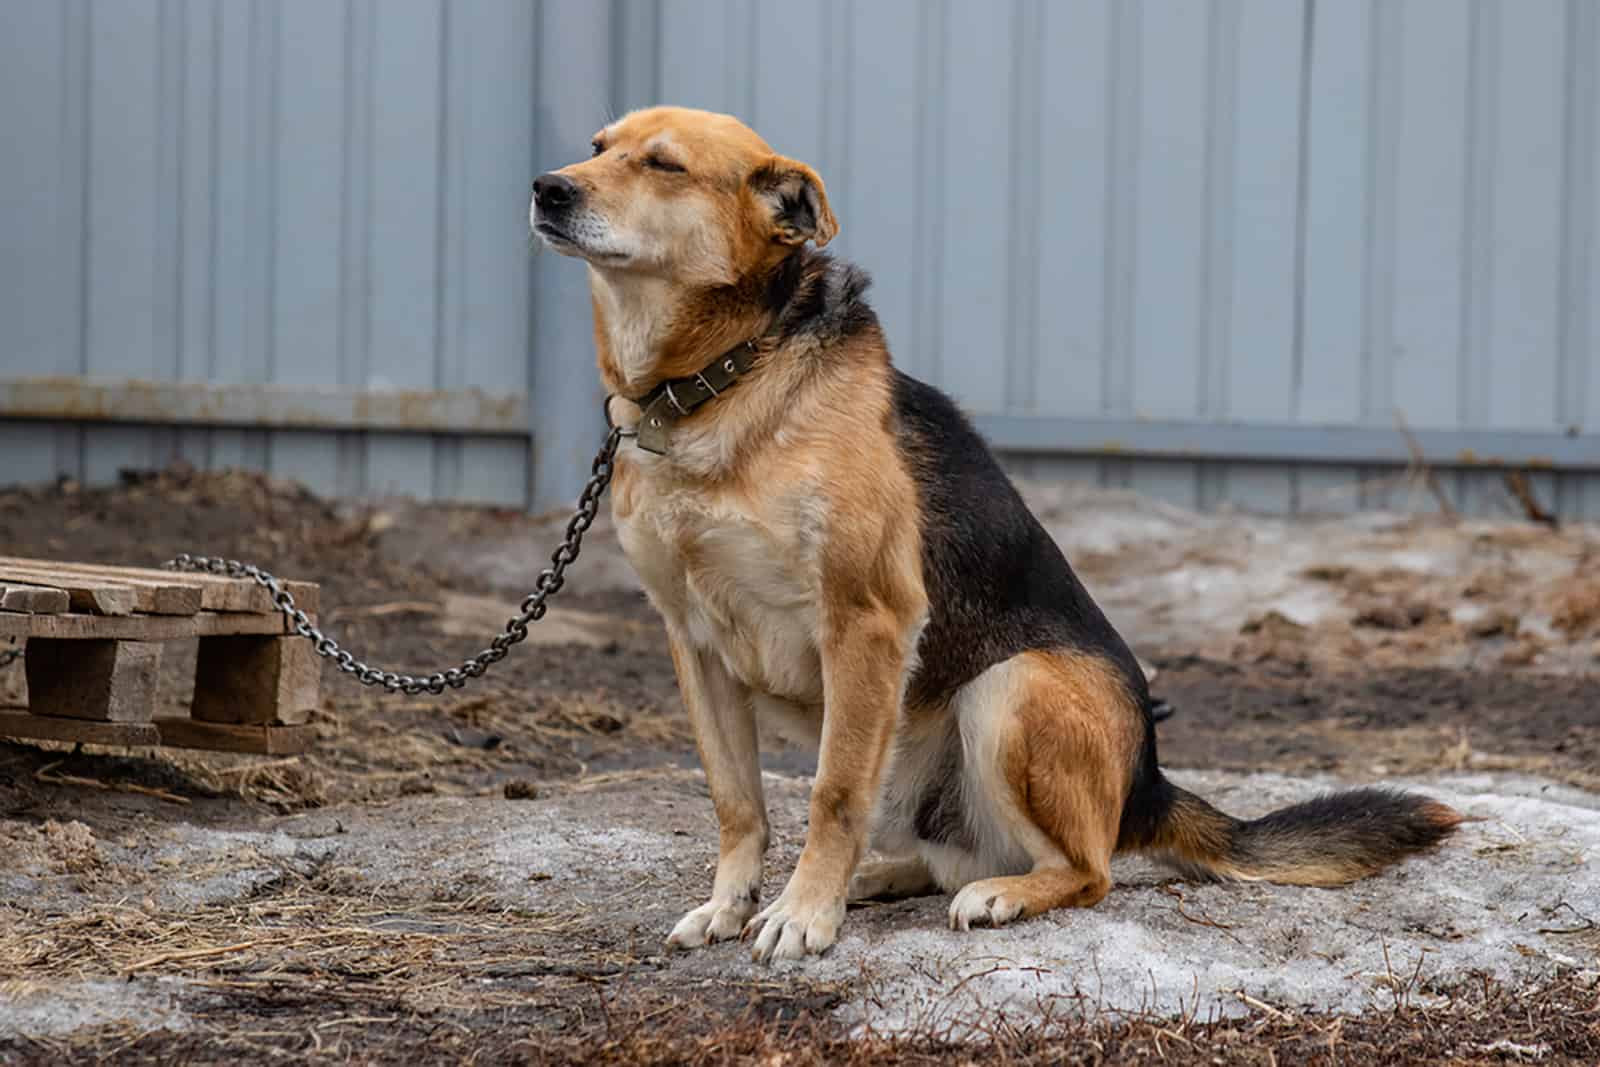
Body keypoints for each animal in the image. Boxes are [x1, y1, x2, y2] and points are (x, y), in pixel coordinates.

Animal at [528, 103, 1465, 966]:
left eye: (665, 165)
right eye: (597, 146)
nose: (547, 187)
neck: (720, 382)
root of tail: (1149, 784)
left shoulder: (865, 620)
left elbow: (832, 792)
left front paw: (802, 914)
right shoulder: (693, 639)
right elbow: (737, 800)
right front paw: (734, 904)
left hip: (1012, 688)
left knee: (1086, 870)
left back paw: (996, 893)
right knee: (947, 851)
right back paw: (878, 874)